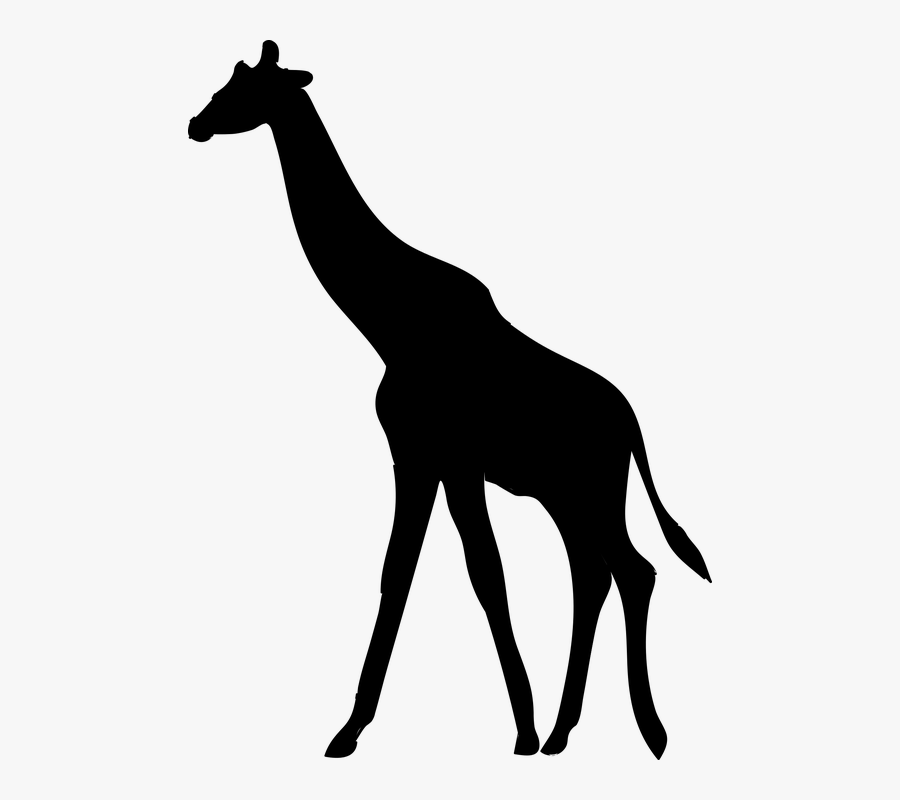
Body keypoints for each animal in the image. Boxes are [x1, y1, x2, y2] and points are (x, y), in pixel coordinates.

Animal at [189, 41, 710, 759]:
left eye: (244, 89)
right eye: (228, 82)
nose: (196, 123)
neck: (390, 321)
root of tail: (630, 422)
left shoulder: (453, 457)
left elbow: (485, 574)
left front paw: (520, 728)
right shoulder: (416, 455)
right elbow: (398, 573)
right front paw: (351, 730)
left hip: (594, 489)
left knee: (634, 571)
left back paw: (648, 732)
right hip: (565, 494)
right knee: (595, 573)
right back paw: (565, 731)